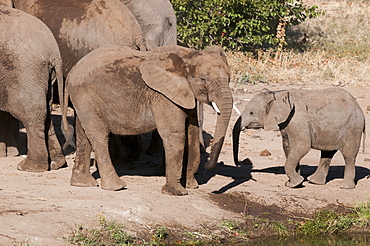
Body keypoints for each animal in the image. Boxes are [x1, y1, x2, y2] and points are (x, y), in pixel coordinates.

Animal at [0, 6, 71, 171]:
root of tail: (54, 51)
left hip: (24, 73)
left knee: (32, 113)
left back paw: (29, 167)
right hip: (45, 75)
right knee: (46, 112)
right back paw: (56, 163)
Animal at [62, 44, 231, 196]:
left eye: (229, 79)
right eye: (203, 79)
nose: (208, 167)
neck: (188, 55)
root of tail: (71, 72)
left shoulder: (184, 94)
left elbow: (192, 132)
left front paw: (191, 185)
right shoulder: (163, 95)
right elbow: (174, 134)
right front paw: (177, 192)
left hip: (83, 99)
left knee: (84, 136)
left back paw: (82, 183)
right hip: (85, 95)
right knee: (98, 136)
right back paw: (117, 187)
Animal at [233, 88, 366, 188]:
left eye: (251, 113)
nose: (238, 163)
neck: (276, 94)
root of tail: (359, 109)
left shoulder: (298, 120)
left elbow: (302, 147)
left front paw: (295, 184)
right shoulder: (286, 123)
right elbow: (287, 147)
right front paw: (295, 183)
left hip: (353, 127)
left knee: (349, 156)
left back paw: (345, 186)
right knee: (327, 153)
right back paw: (314, 181)